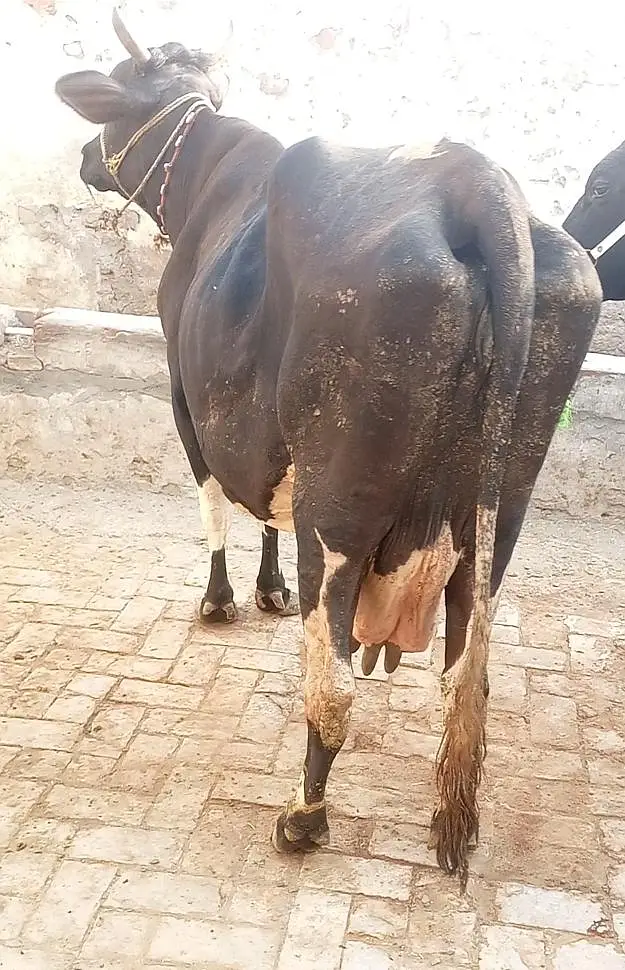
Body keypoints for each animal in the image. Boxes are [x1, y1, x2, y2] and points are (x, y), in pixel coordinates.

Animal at [55, 9, 601, 888]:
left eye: (120, 87)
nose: (80, 159)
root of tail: (472, 180)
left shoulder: (183, 392)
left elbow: (217, 502)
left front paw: (222, 599)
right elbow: (263, 507)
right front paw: (268, 589)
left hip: (339, 509)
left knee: (336, 680)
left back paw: (303, 815)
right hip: (501, 511)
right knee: (465, 675)